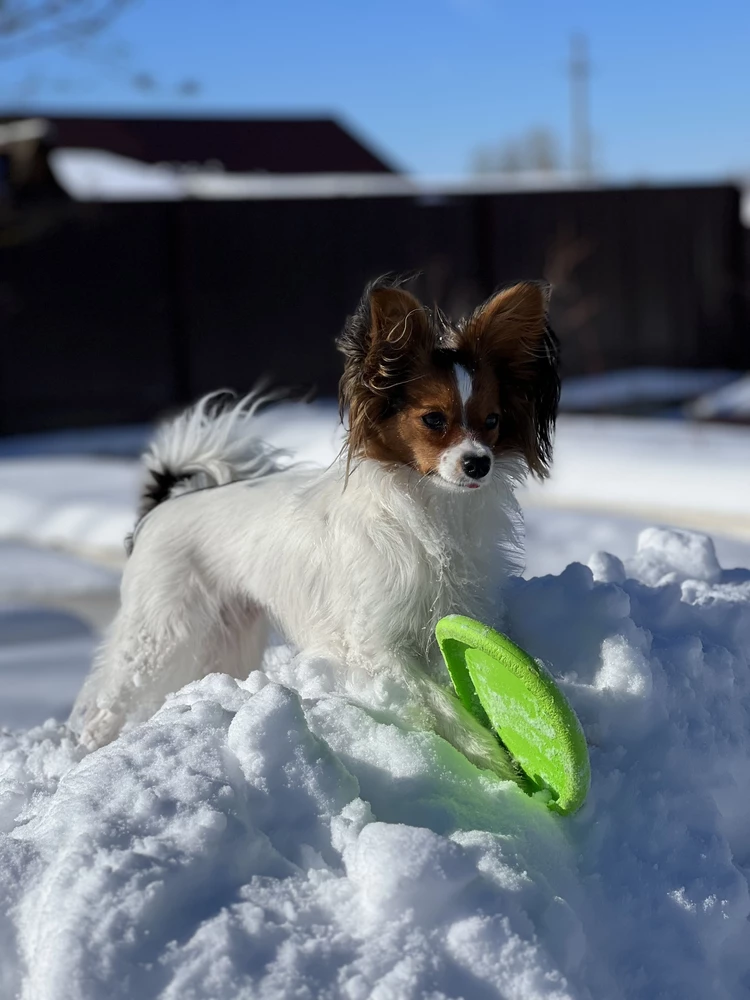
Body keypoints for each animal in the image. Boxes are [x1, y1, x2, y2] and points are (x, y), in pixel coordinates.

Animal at [72, 278, 564, 776]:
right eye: (433, 420)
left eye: (492, 422)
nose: (479, 463)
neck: (432, 510)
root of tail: (166, 504)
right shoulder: (376, 643)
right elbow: (437, 700)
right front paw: (490, 757)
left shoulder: (450, 618)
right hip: (161, 635)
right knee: (104, 704)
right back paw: (83, 755)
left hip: (226, 639)